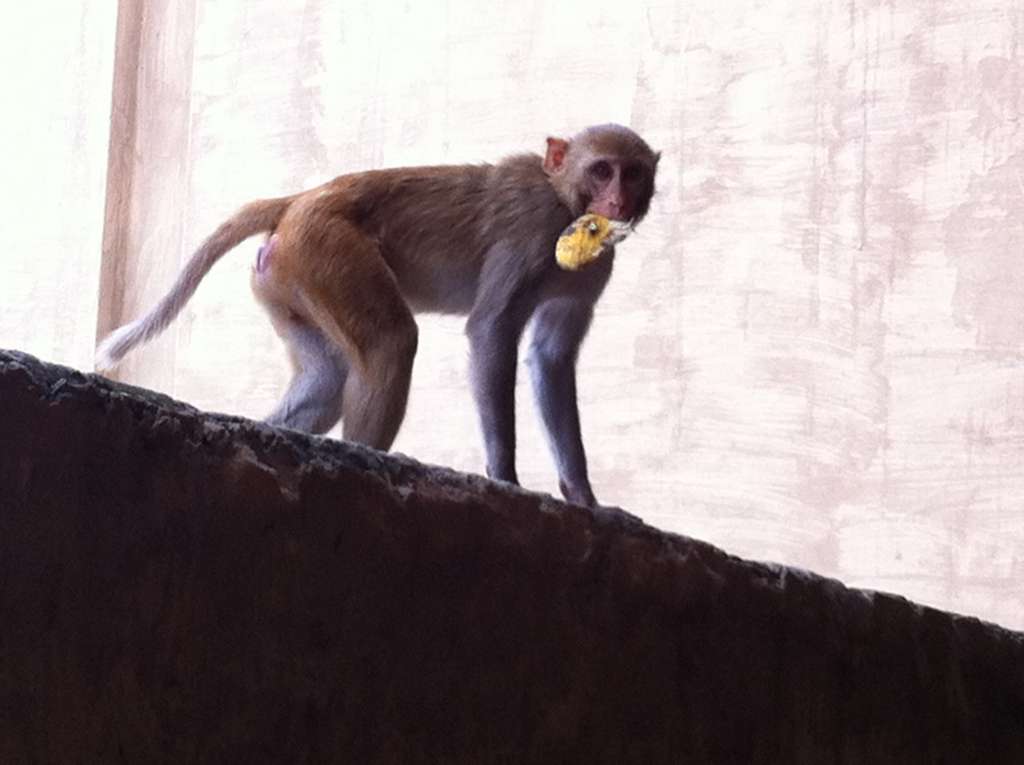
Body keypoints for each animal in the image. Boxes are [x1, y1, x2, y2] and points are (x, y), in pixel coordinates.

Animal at [94, 124, 655, 507]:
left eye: (633, 173)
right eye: (602, 169)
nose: (617, 199)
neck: (565, 204)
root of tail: (299, 199)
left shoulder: (590, 273)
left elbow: (551, 360)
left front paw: (583, 496)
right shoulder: (529, 232)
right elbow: (491, 330)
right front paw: (505, 477)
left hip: (290, 277)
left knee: (327, 379)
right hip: (328, 250)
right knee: (391, 341)